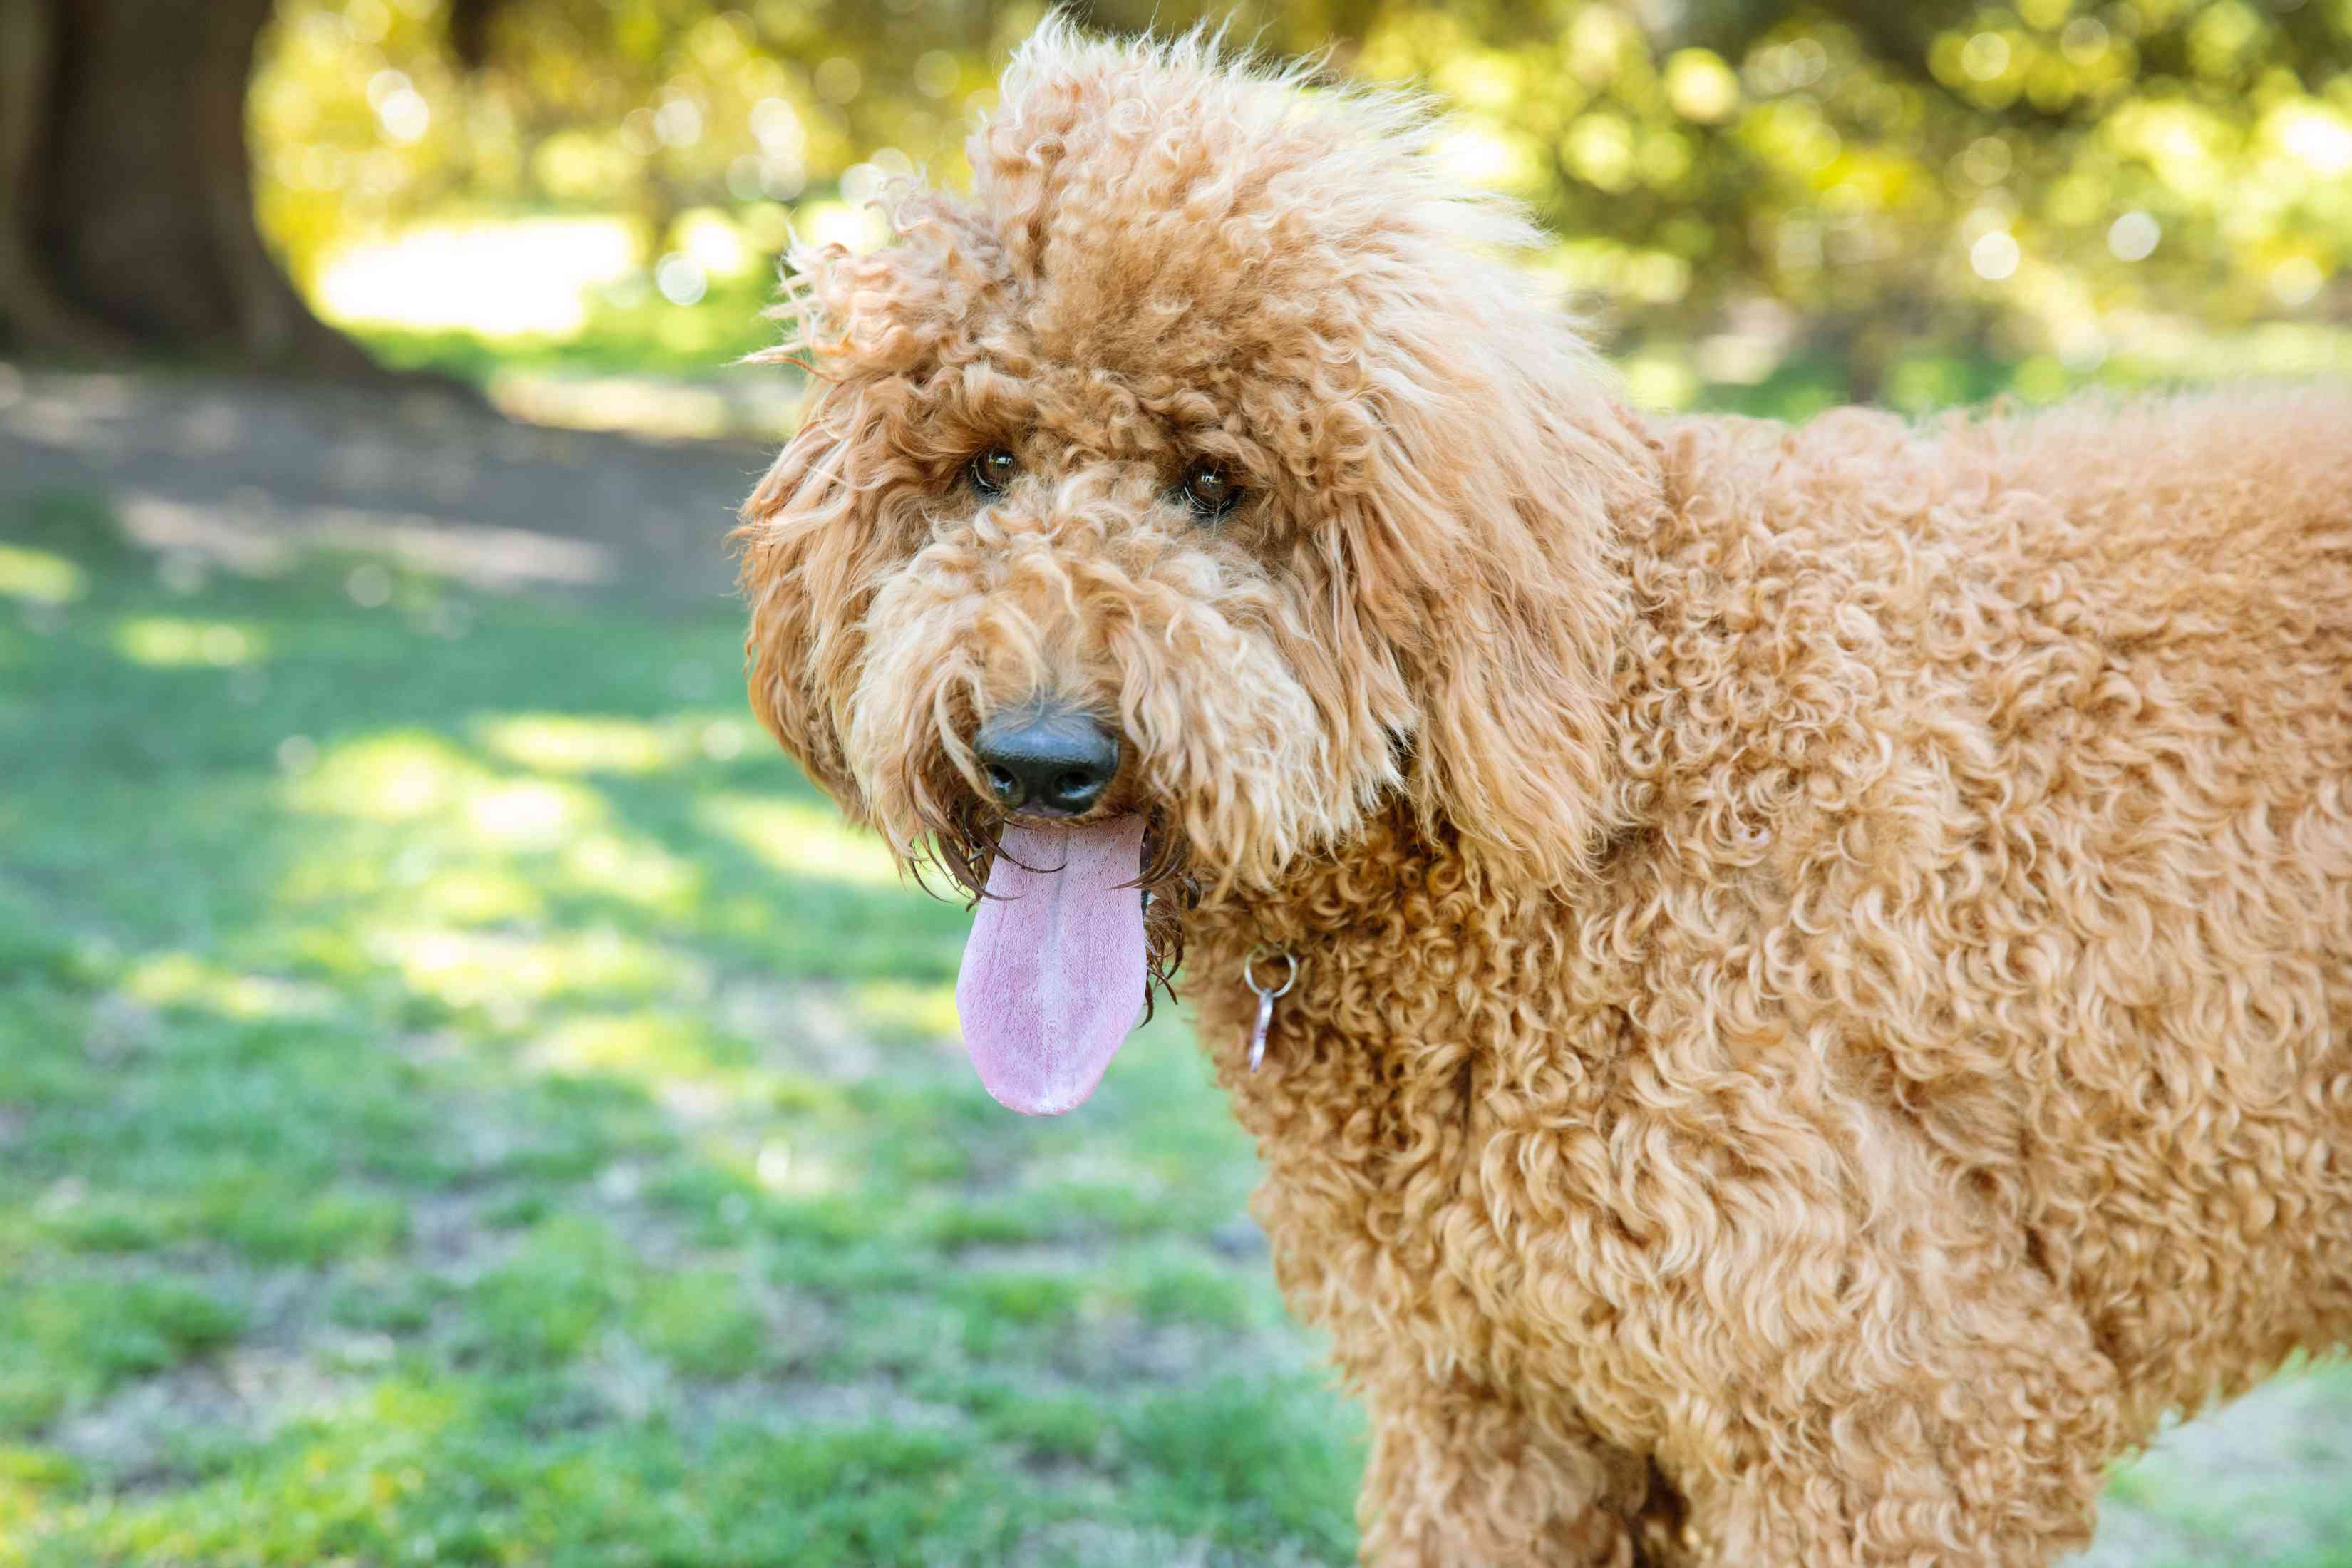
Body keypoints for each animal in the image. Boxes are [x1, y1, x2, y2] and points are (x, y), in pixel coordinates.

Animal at [733, 24, 2352, 1568]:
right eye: (986, 467)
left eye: (1215, 481)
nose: (1040, 757)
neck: (1616, 747)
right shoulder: (1501, 1406)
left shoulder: (1895, 1417)